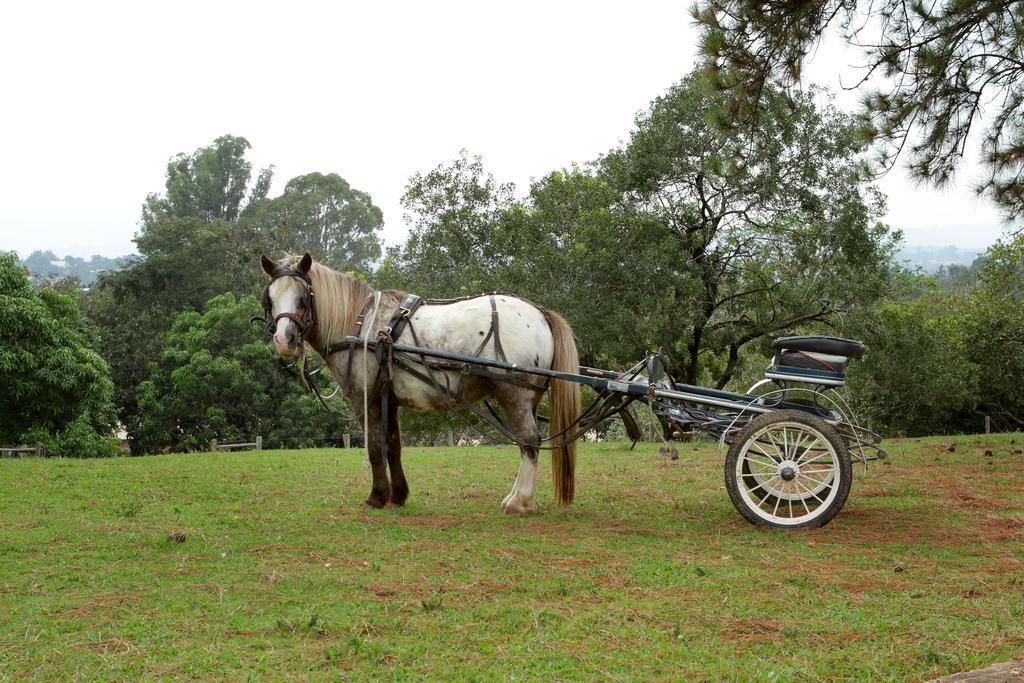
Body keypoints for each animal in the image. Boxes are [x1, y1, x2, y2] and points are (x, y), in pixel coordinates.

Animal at [260, 250, 581, 511]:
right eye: (270, 299)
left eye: (303, 297)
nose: (284, 340)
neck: (361, 324)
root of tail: (540, 313)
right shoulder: (389, 399)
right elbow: (393, 445)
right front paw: (398, 494)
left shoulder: (367, 398)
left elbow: (375, 447)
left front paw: (377, 496)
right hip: (529, 398)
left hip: (514, 395)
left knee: (529, 441)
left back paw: (519, 501)